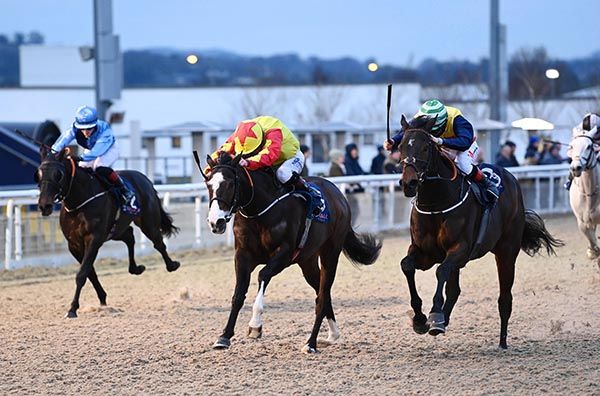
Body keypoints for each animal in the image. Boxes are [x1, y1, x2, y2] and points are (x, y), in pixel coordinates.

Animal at [34, 147, 179, 318]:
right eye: (38, 174)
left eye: (58, 174)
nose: (44, 205)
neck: (79, 202)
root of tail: (145, 179)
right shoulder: (74, 245)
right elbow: (90, 273)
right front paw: (102, 299)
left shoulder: (94, 239)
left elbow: (82, 273)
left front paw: (72, 309)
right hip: (115, 230)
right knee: (129, 236)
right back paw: (135, 268)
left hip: (148, 222)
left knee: (158, 243)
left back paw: (172, 265)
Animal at [199, 151, 382, 352]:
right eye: (208, 184)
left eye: (230, 184)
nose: (216, 222)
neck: (259, 211)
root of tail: (339, 195)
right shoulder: (243, 255)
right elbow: (238, 294)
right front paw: (224, 337)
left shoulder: (285, 254)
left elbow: (263, 275)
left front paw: (255, 325)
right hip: (307, 261)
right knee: (322, 293)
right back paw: (333, 333)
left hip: (330, 252)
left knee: (323, 295)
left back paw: (311, 343)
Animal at [398, 116, 564, 348]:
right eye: (401, 146)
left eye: (425, 147)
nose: (409, 183)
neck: (436, 205)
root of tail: (511, 179)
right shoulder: (425, 252)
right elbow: (407, 266)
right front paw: (421, 318)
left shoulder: (460, 248)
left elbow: (441, 271)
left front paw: (435, 314)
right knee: (454, 289)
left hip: (506, 252)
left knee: (505, 298)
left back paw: (502, 342)